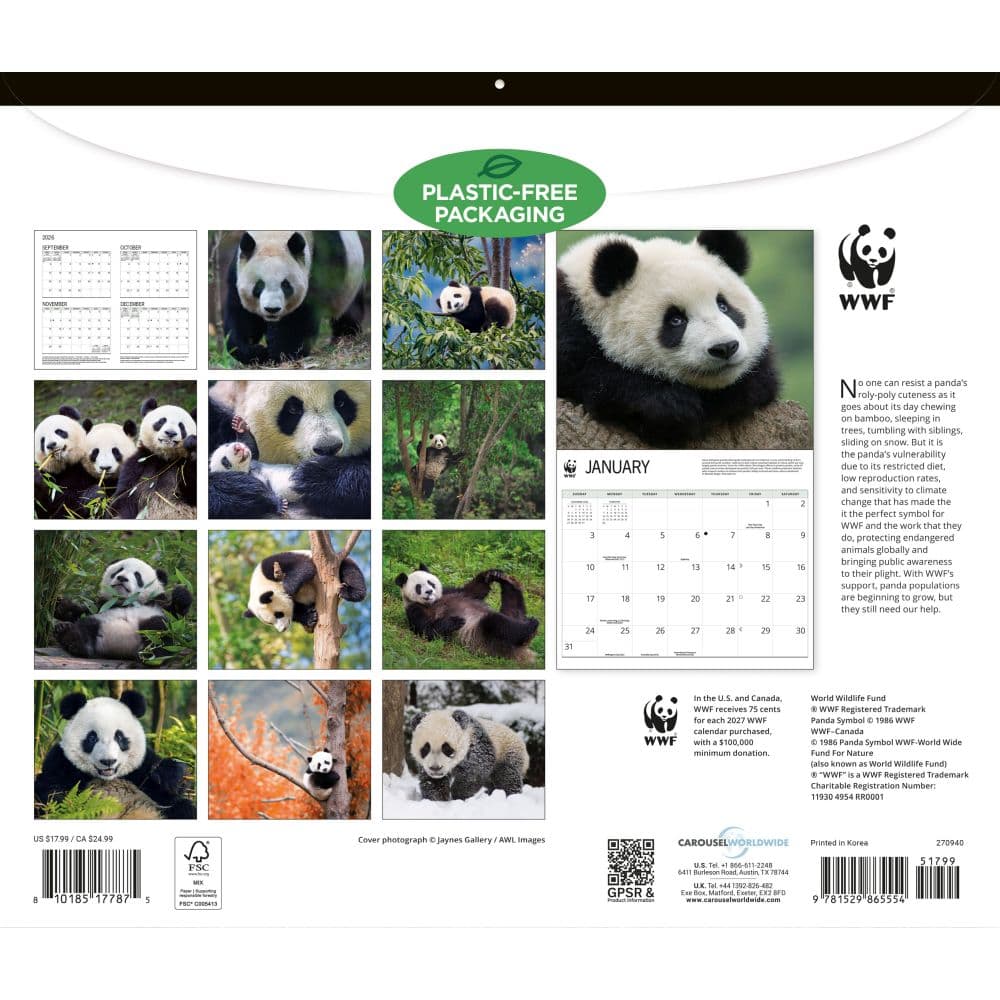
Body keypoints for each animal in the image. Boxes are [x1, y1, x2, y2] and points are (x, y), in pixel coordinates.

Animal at [34, 690, 195, 819]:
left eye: (119, 736)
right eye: (92, 738)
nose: (108, 761)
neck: (108, 778)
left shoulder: (140, 768)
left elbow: (167, 793)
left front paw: (169, 775)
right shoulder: (62, 763)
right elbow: (51, 795)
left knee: (184, 809)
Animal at [51, 556, 193, 661]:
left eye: (137, 576)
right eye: (119, 570)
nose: (122, 578)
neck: (126, 601)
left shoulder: (157, 604)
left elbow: (175, 615)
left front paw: (181, 594)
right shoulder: (103, 606)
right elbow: (78, 612)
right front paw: (59, 604)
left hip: (150, 627)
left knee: (159, 632)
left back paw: (150, 658)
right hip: (101, 621)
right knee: (86, 626)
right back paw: (68, 635)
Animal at [223, 230, 366, 365]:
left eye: (285, 284)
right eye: (259, 285)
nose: (272, 309)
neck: (274, 236)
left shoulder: (320, 262)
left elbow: (300, 317)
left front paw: (281, 352)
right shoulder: (236, 272)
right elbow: (241, 317)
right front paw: (255, 352)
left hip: (352, 285)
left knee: (349, 311)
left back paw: (345, 334)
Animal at [394, 565, 538, 664]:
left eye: (431, 583)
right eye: (418, 587)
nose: (429, 592)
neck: (433, 602)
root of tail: (522, 652)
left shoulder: (451, 592)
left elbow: (474, 590)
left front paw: (492, 574)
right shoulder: (414, 609)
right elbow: (427, 631)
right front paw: (454, 621)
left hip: (507, 624)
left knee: (513, 607)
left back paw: (510, 583)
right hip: (487, 640)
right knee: (497, 623)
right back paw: (530, 627)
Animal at [557, 231, 780, 447]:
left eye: (724, 306)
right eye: (675, 320)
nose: (724, 347)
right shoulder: (567, 325)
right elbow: (587, 373)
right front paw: (672, 406)